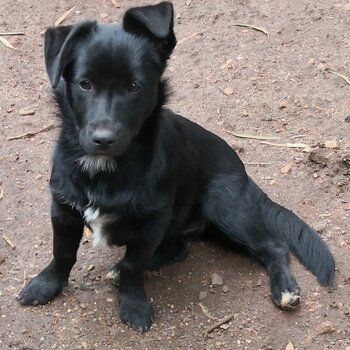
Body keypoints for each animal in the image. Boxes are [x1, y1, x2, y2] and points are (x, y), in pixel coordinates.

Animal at [17, 2, 334, 330]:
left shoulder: (151, 223)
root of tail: (244, 172)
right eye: (84, 84)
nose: (102, 140)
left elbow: (134, 265)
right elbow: (63, 253)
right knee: (180, 248)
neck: (105, 169)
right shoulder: (63, 210)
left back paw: (284, 289)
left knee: (273, 246)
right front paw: (46, 285)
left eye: (134, 86)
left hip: (226, 210)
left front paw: (133, 305)